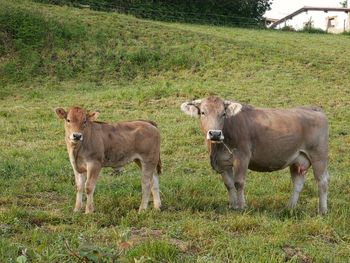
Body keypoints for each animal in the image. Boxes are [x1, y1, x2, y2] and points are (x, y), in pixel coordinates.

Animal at [182, 96, 330, 214]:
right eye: (203, 112)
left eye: (223, 113)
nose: (215, 134)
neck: (217, 148)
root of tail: (313, 109)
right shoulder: (223, 162)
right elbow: (228, 184)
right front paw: (232, 205)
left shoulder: (242, 156)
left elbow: (238, 182)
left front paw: (241, 206)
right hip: (297, 159)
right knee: (298, 184)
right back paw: (289, 207)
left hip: (319, 156)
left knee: (322, 181)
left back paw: (322, 210)